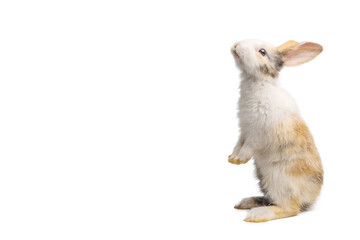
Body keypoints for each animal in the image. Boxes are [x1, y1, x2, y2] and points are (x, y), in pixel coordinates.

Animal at [229, 38, 324, 222]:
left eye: (262, 52)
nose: (236, 45)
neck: (257, 82)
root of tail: (312, 197)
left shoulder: (259, 131)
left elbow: (249, 145)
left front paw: (240, 159)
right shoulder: (244, 129)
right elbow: (239, 144)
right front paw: (233, 158)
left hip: (278, 179)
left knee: (290, 208)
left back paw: (256, 215)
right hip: (263, 178)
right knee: (272, 199)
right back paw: (246, 203)